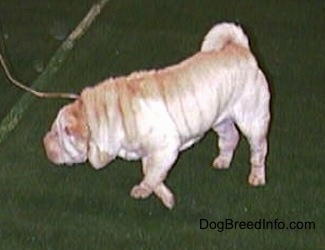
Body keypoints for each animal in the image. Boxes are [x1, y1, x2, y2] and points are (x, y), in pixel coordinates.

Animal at [43, 22, 270, 208]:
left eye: (58, 134)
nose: (44, 143)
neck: (106, 115)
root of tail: (241, 48)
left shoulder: (165, 147)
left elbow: (151, 175)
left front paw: (142, 191)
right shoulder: (152, 153)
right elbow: (153, 173)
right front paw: (166, 197)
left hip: (253, 121)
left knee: (259, 150)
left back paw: (257, 177)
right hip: (220, 119)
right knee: (230, 137)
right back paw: (222, 161)